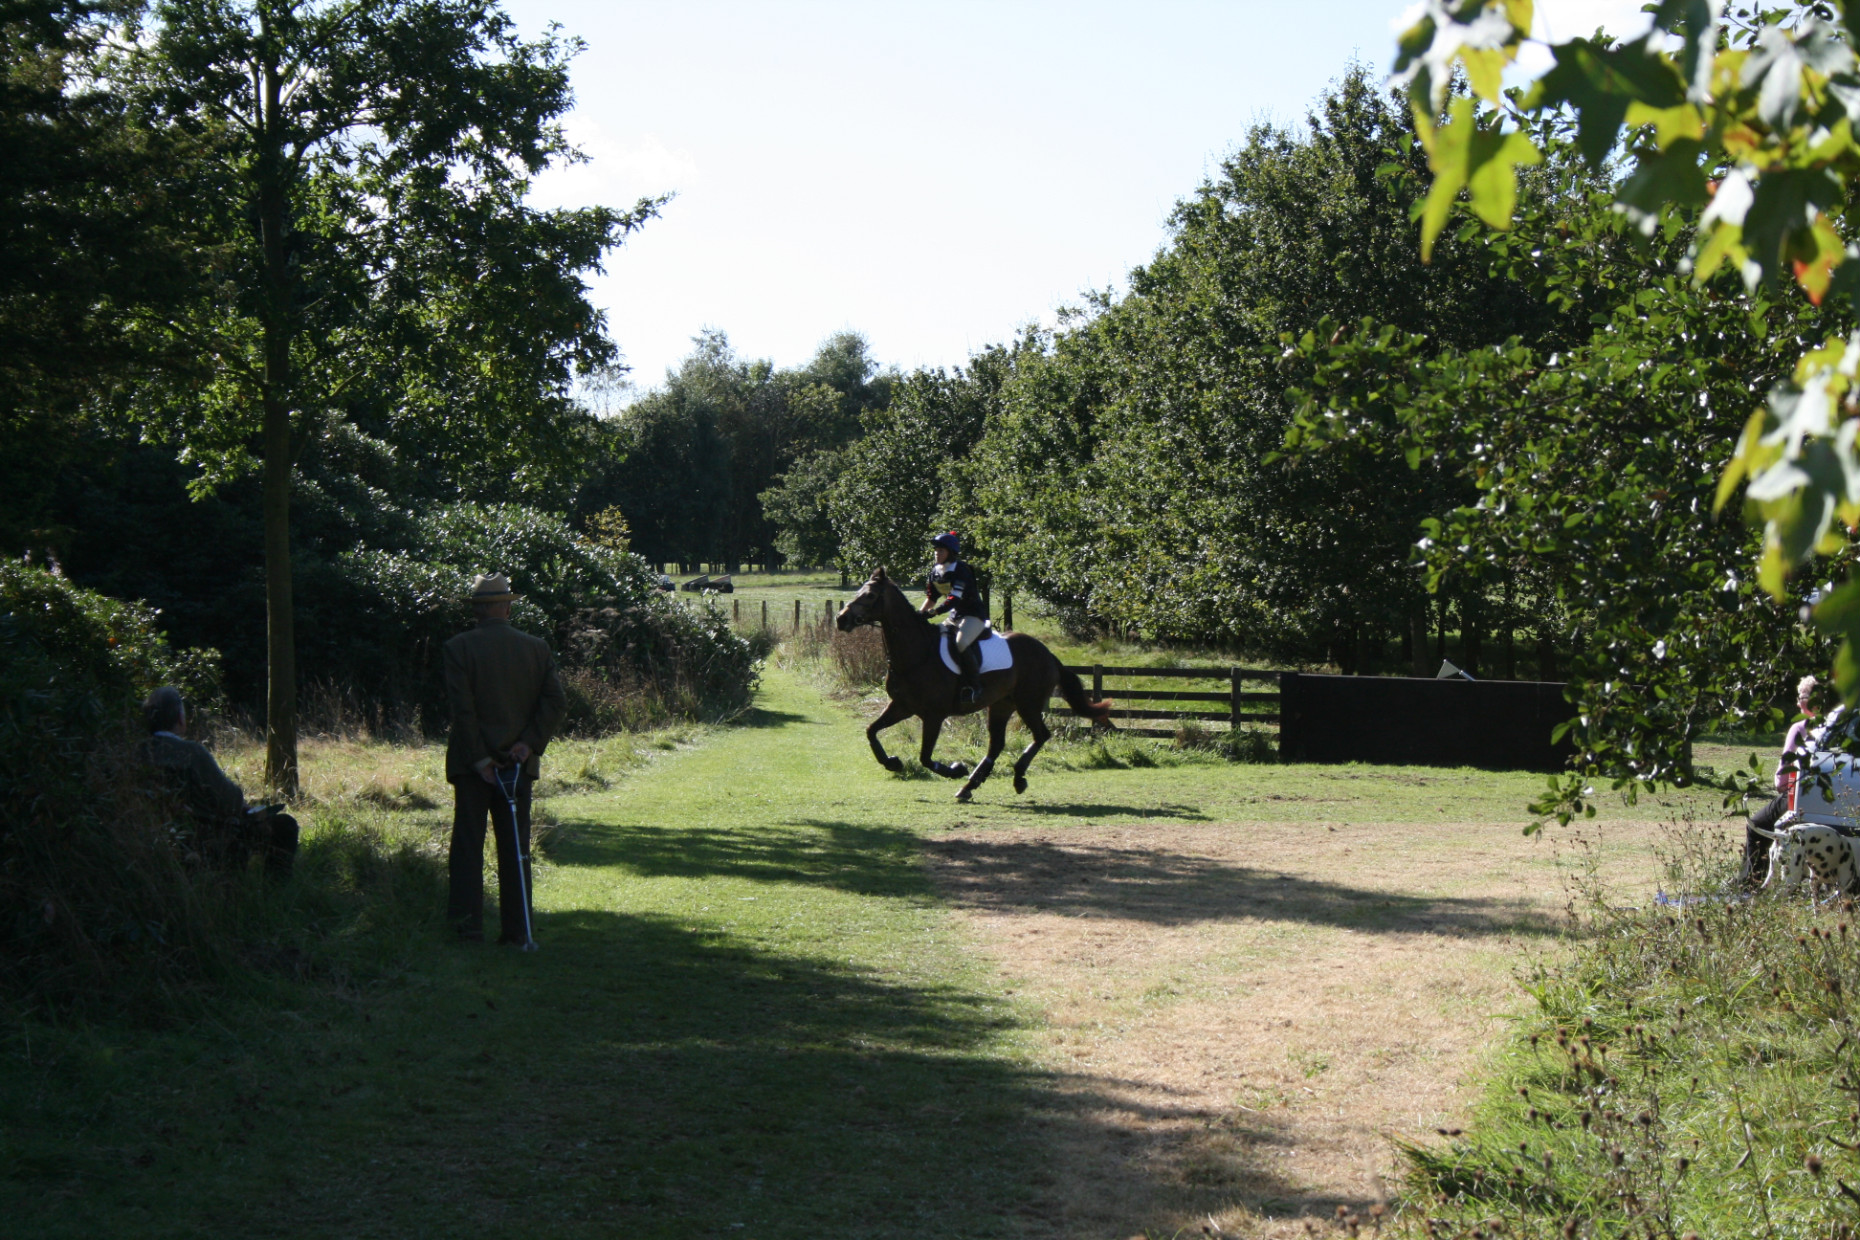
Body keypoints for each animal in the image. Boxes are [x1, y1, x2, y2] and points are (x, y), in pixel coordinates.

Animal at [837, 568, 1108, 799]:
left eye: (870, 595)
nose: (841, 619)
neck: (916, 655)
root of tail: (1047, 653)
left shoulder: (933, 715)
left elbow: (925, 757)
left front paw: (956, 769)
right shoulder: (902, 706)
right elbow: (871, 731)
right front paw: (892, 762)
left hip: (1028, 703)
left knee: (1041, 735)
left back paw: (1017, 778)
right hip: (1001, 705)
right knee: (996, 744)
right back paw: (970, 786)